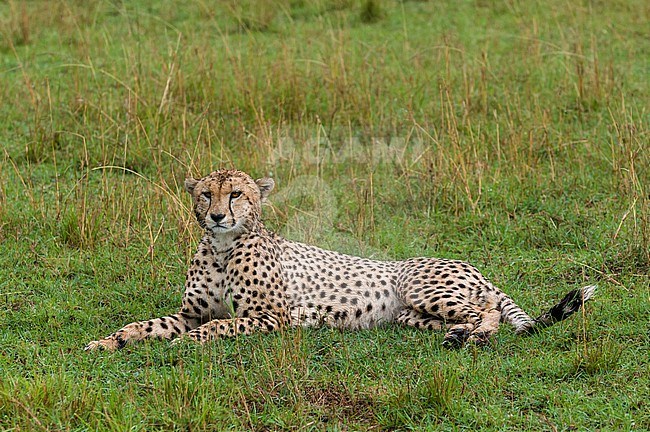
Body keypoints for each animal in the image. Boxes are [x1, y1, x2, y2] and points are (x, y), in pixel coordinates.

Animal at [85, 169, 592, 352]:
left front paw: (191, 343)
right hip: (408, 315)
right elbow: (146, 324)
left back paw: (475, 337)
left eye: (237, 194)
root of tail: (473, 267)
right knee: (466, 316)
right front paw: (110, 341)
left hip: (419, 284)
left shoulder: (273, 316)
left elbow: (223, 324)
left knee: (488, 311)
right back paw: (459, 335)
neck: (223, 247)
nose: (216, 215)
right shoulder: (191, 311)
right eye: (207, 193)